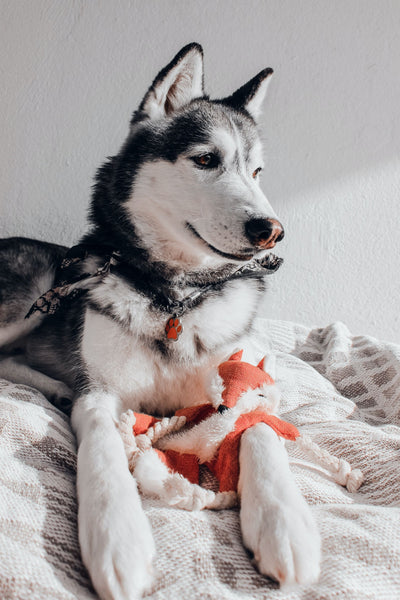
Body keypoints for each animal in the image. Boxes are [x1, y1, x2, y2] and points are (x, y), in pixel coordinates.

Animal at [0, 44, 318, 596]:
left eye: (257, 172)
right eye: (206, 159)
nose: (272, 231)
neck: (175, 300)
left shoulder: (243, 377)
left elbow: (256, 427)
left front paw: (284, 524)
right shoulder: (101, 393)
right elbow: (103, 450)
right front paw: (118, 538)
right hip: (32, 293)